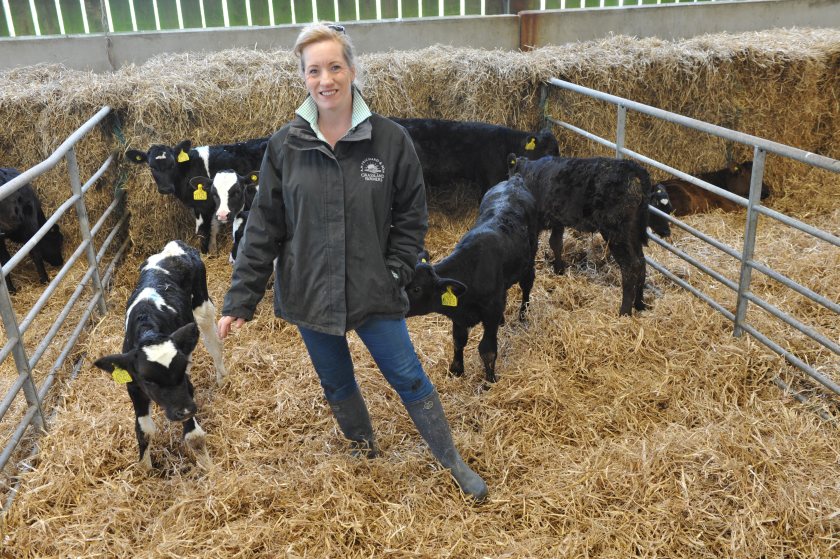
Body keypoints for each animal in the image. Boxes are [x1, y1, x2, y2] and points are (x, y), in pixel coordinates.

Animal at [93, 242, 226, 472]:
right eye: (149, 381)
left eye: (179, 374)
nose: (184, 410)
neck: (149, 327)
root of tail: (176, 244)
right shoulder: (133, 385)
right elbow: (144, 431)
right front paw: (145, 469)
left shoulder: (186, 390)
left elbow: (194, 436)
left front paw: (208, 467)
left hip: (203, 306)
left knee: (213, 342)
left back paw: (222, 377)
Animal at [125, 139, 266, 255]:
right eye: (151, 166)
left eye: (172, 164)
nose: (166, 189)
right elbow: (213, 228)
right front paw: (213, 251)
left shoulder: (203, 206)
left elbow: (202, 231)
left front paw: (204, 253)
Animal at [406, 176, 540, 384]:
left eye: (417, 289)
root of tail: (514, 180)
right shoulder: (459, 315)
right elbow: (458, 340)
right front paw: (456, 369)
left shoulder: (490, 312)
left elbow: (487, 349)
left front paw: (489, 380)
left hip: (529, 261)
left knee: (527, 286)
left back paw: (523, 315)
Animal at [508, 155, 652, 318]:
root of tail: (633, 168)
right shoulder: (557, 220)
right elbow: (556, 243)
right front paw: (559, 270)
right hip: (634, 229)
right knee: (641, 261)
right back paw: (639, 303)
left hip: (616, 230)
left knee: (630, 266)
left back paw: (624, 312)